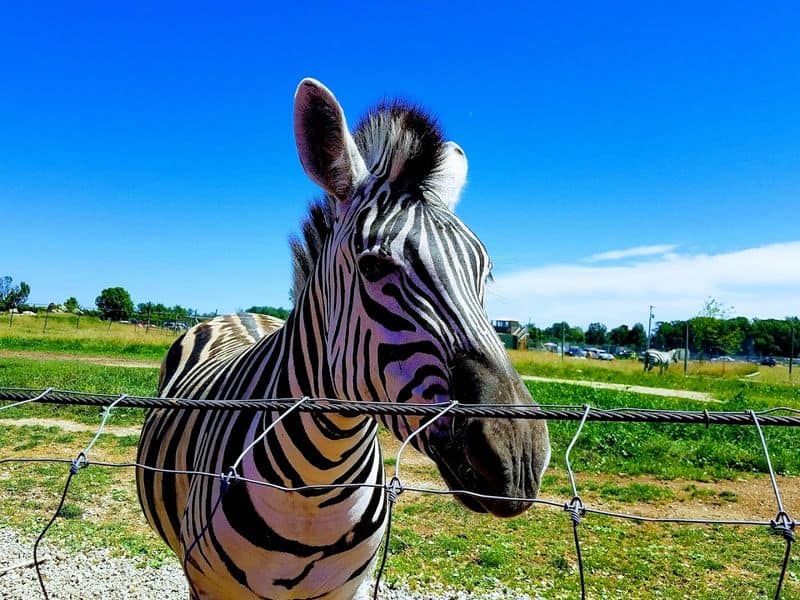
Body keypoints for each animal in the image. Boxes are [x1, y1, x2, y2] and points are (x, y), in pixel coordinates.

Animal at [136, 78, 551, 600]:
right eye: (372, 266)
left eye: (485, 273)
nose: (520, 455)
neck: (318, 487)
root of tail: (243, 316)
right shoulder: (210, 586)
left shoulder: (345, 589)